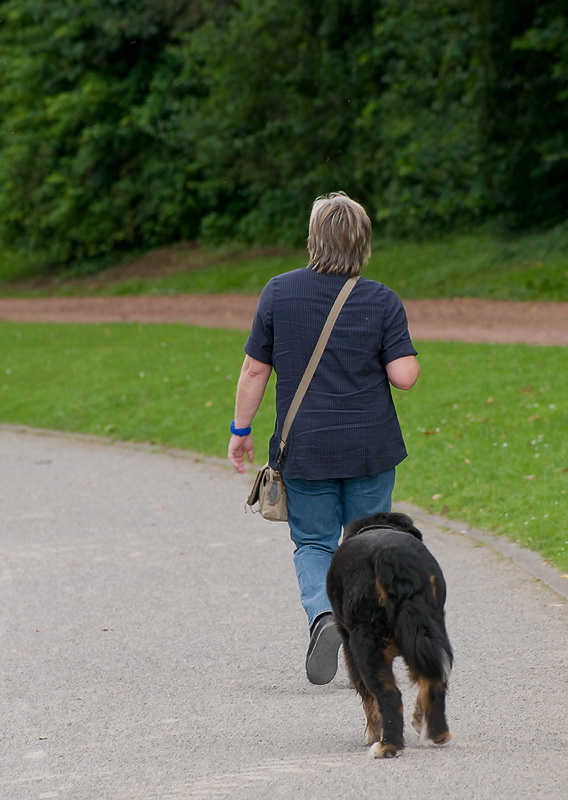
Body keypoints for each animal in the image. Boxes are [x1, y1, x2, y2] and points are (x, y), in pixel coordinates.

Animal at [328, 510, 452, 760]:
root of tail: (392, 558)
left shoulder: (349, 648)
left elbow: (369, 699)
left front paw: (373, 733)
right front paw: (419, 718)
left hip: (366, 644)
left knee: (389, 695)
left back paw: (387, 745)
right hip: (431, 627)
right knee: (434, 680)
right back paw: (437, 733)